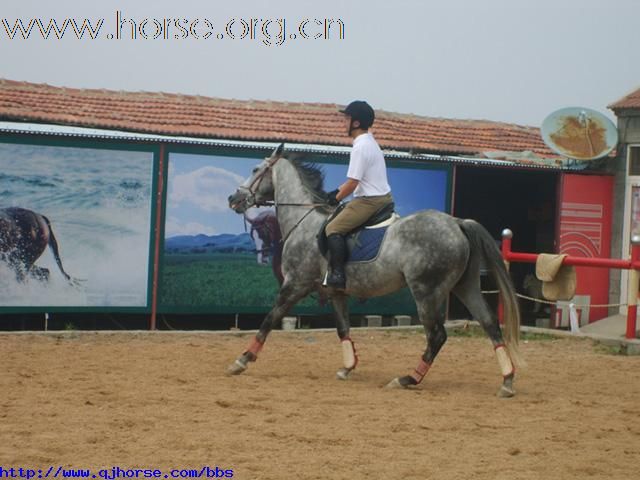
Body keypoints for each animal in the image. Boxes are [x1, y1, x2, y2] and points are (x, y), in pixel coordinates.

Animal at [228, 143, 524, 398]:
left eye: (255, 169)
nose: (234, 198)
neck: (303, 222)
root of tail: (458, 223)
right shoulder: (336, 292)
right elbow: (343, 328)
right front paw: (347, 367)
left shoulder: (295, 284)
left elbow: (269, 319)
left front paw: (242, 360)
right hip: (466, 285)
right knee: (489, 323)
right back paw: (507, 380)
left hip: (426, 292)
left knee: (437, 336)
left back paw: (407, 378)